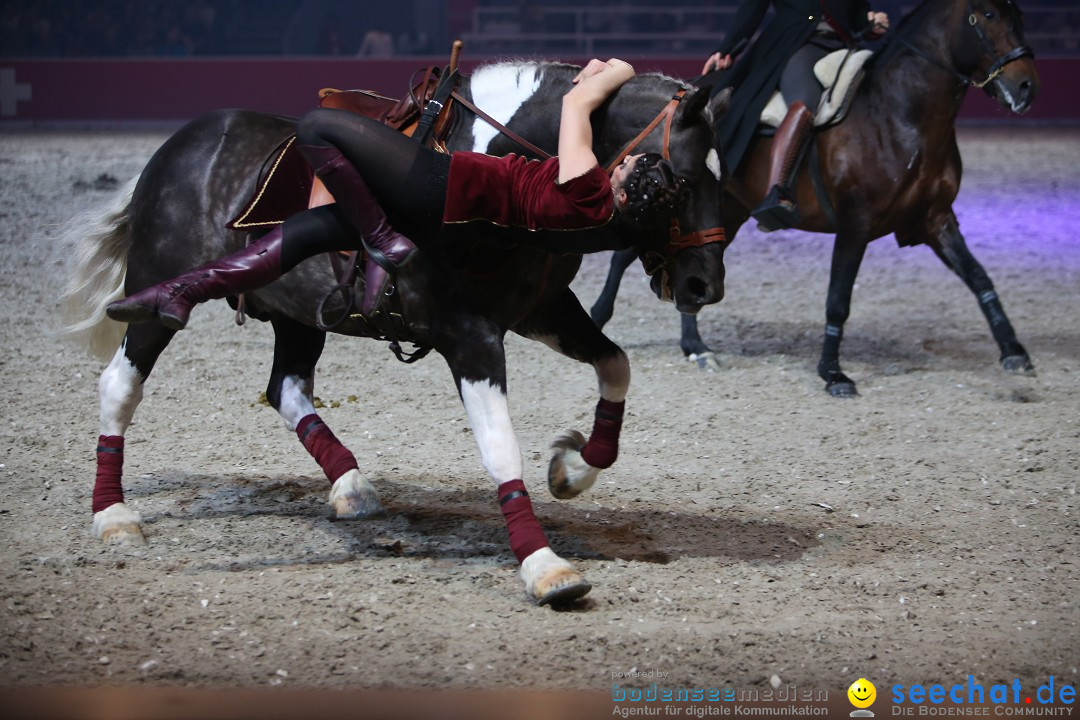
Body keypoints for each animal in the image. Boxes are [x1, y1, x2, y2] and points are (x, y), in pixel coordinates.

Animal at [63, 59, 730, 604]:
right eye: (687, 180)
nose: (705, 286)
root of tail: (176, 148)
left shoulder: (542, 309)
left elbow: (615, 365)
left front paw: (574, 467)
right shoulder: (468, 334)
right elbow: (499, 445)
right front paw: (545, 567)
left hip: (301, 314)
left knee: (287, 388)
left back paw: (351, 485)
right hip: (158, 279)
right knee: (120, 383)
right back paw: (112, 512)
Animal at [591, 0, 1036, 397]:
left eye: (1019, 15)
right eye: (989, 14)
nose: (1026, 86)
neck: (899, 117)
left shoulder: (936, 218)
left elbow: (978, 276)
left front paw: (1014, 351)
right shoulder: (856, 225)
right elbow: (838, 299)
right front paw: (833, 373)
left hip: (724, 213)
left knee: (692, 266)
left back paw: (695, 346)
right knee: (632, 256)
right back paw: (607, 319)